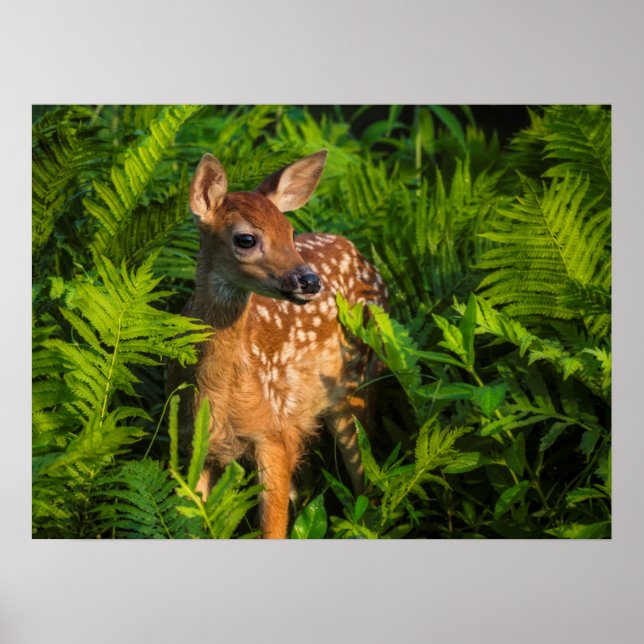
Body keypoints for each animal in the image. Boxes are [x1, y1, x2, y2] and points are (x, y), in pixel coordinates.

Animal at [169, 149, 388, 538]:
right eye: (246, 239)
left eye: (289, 232)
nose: (310, 280)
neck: (218, 394)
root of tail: (361, 255)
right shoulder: (195, 445)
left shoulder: (272, 434)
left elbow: (273, 530)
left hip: (359, 383)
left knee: (367, 480)